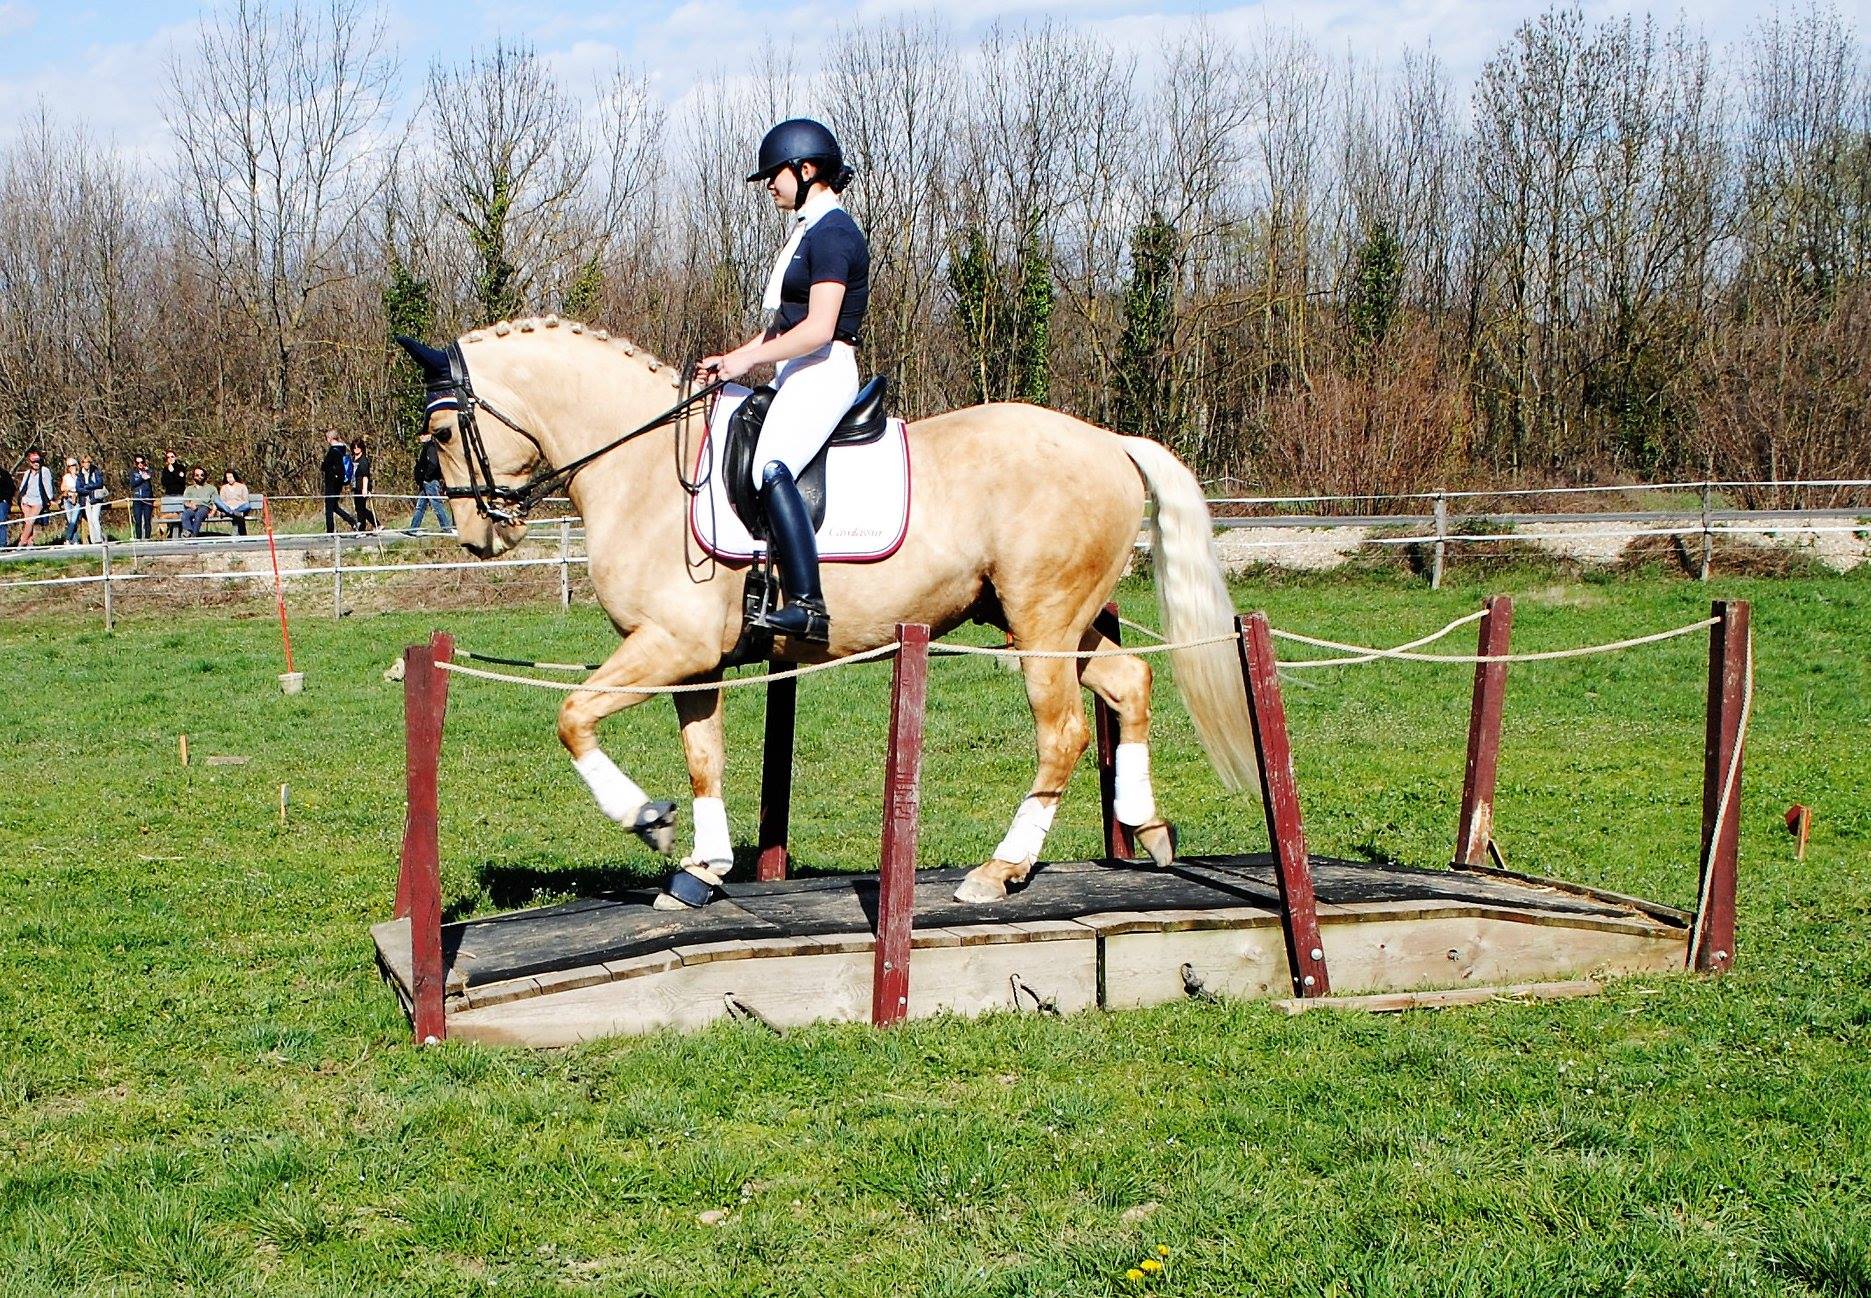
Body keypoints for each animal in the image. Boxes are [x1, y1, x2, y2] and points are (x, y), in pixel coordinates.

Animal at [402, 321, 1264, 908]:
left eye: (440, 431)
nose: (480, 535)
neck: (646, 469)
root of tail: (1110, 441)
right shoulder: (696, 663)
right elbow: (704, 758)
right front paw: (702, 870)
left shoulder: (671, 645)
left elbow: (573, 716)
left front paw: (647, 819)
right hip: (1050, 624)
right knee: (1128, 682)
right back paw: (1148, 828)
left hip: (1042, 627)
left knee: (1064, 734)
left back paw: (999, 869)